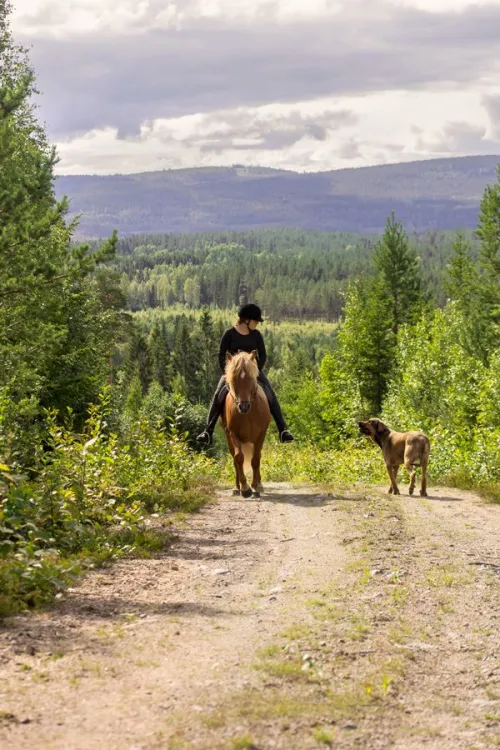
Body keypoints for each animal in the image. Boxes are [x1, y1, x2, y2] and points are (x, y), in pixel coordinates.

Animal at [222, 352, 270, 500]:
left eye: (250, 378)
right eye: (233, 378)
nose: (243, 406)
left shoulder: (261, 434)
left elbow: (256, 459)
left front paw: (255, 487)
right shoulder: (233, 433)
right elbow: (239, 458)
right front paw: (245, 488)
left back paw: (259, 485)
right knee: (235, 459)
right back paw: (236, 488)